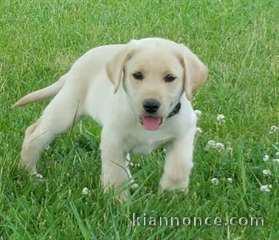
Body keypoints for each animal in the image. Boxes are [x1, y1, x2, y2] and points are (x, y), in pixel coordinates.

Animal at [14, 38, 208, 198]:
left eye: (170, 78)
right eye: (137, 75)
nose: (151, 105)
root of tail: (76, 65)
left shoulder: (185, 132)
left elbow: (179, 166)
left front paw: (172, 195)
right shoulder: (113, 140)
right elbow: (116, 174)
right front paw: (118, 203)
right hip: (66, 109)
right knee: (34, 133)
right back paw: (29, 173)